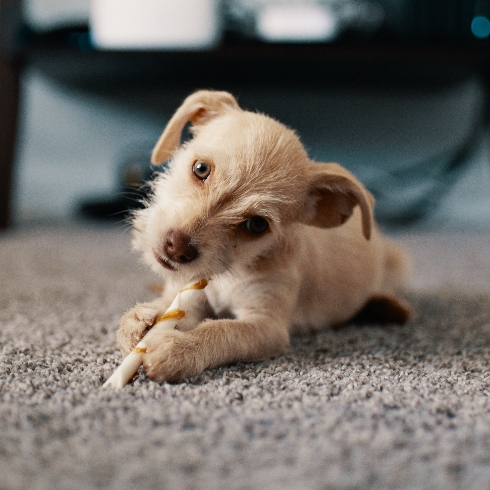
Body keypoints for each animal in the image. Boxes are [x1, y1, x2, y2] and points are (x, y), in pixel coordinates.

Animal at [117, 92, 412, 382]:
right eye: (200, 169)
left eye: (257, 225)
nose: (176, 248)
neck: (229, 272)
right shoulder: (189, 295)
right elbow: (169, 308)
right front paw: (141, 320)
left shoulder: (266, 326)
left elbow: (221, 332)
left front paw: (178, 348)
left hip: (397, 261)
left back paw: (387, 307)